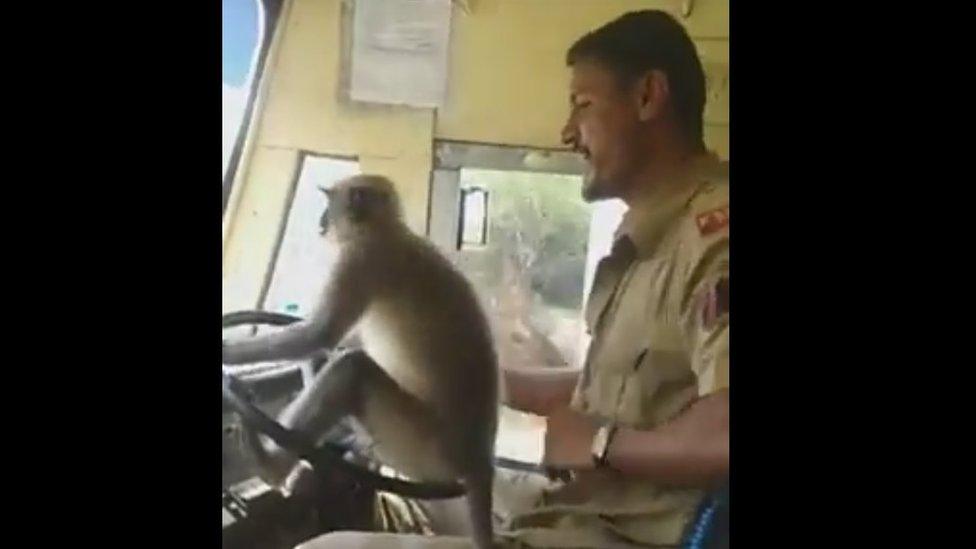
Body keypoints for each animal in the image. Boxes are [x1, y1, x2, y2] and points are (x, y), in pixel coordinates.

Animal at [225, 174, 500, 548]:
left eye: (330, 204)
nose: (322, 221)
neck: (387, 231)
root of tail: (478, 461)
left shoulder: (362, 258)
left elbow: (320, 334)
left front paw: (226, 352)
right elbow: (330, 342)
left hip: (419, 449)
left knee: (352, 369)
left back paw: (270, 466)